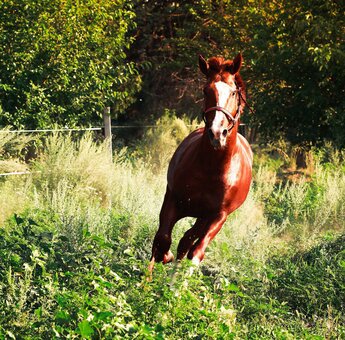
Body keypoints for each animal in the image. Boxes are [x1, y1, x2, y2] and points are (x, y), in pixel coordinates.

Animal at [148, 53, 253, 274]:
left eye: (233, 92)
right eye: (206, 90)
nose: (217, 133)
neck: (212, 168)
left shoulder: (218, 215)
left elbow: (196, 252)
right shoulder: (173, 199)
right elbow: (163, 239)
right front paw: (156, 270)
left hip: (205, 218)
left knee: (188, 241)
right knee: (178, 240)